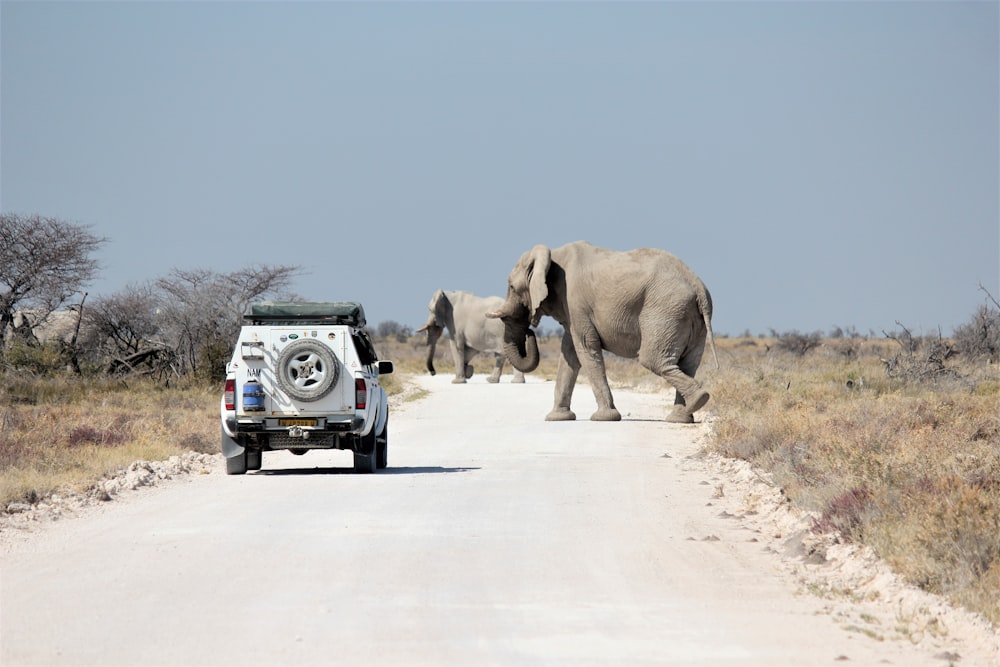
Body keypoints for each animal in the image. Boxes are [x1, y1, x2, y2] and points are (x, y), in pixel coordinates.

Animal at [486, 243, 716, 426]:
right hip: (689, 318)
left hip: (666, 310)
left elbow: (585, 348)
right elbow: (569, 353)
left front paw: (603, 418)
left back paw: (699, 399)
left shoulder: (575, 302)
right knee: (688, 363)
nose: (530, 332)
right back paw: (682, 417)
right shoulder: (572, 310)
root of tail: (698, 287)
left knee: (653, 359)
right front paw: (556, 418)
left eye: (511, 287)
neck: (553, 255)